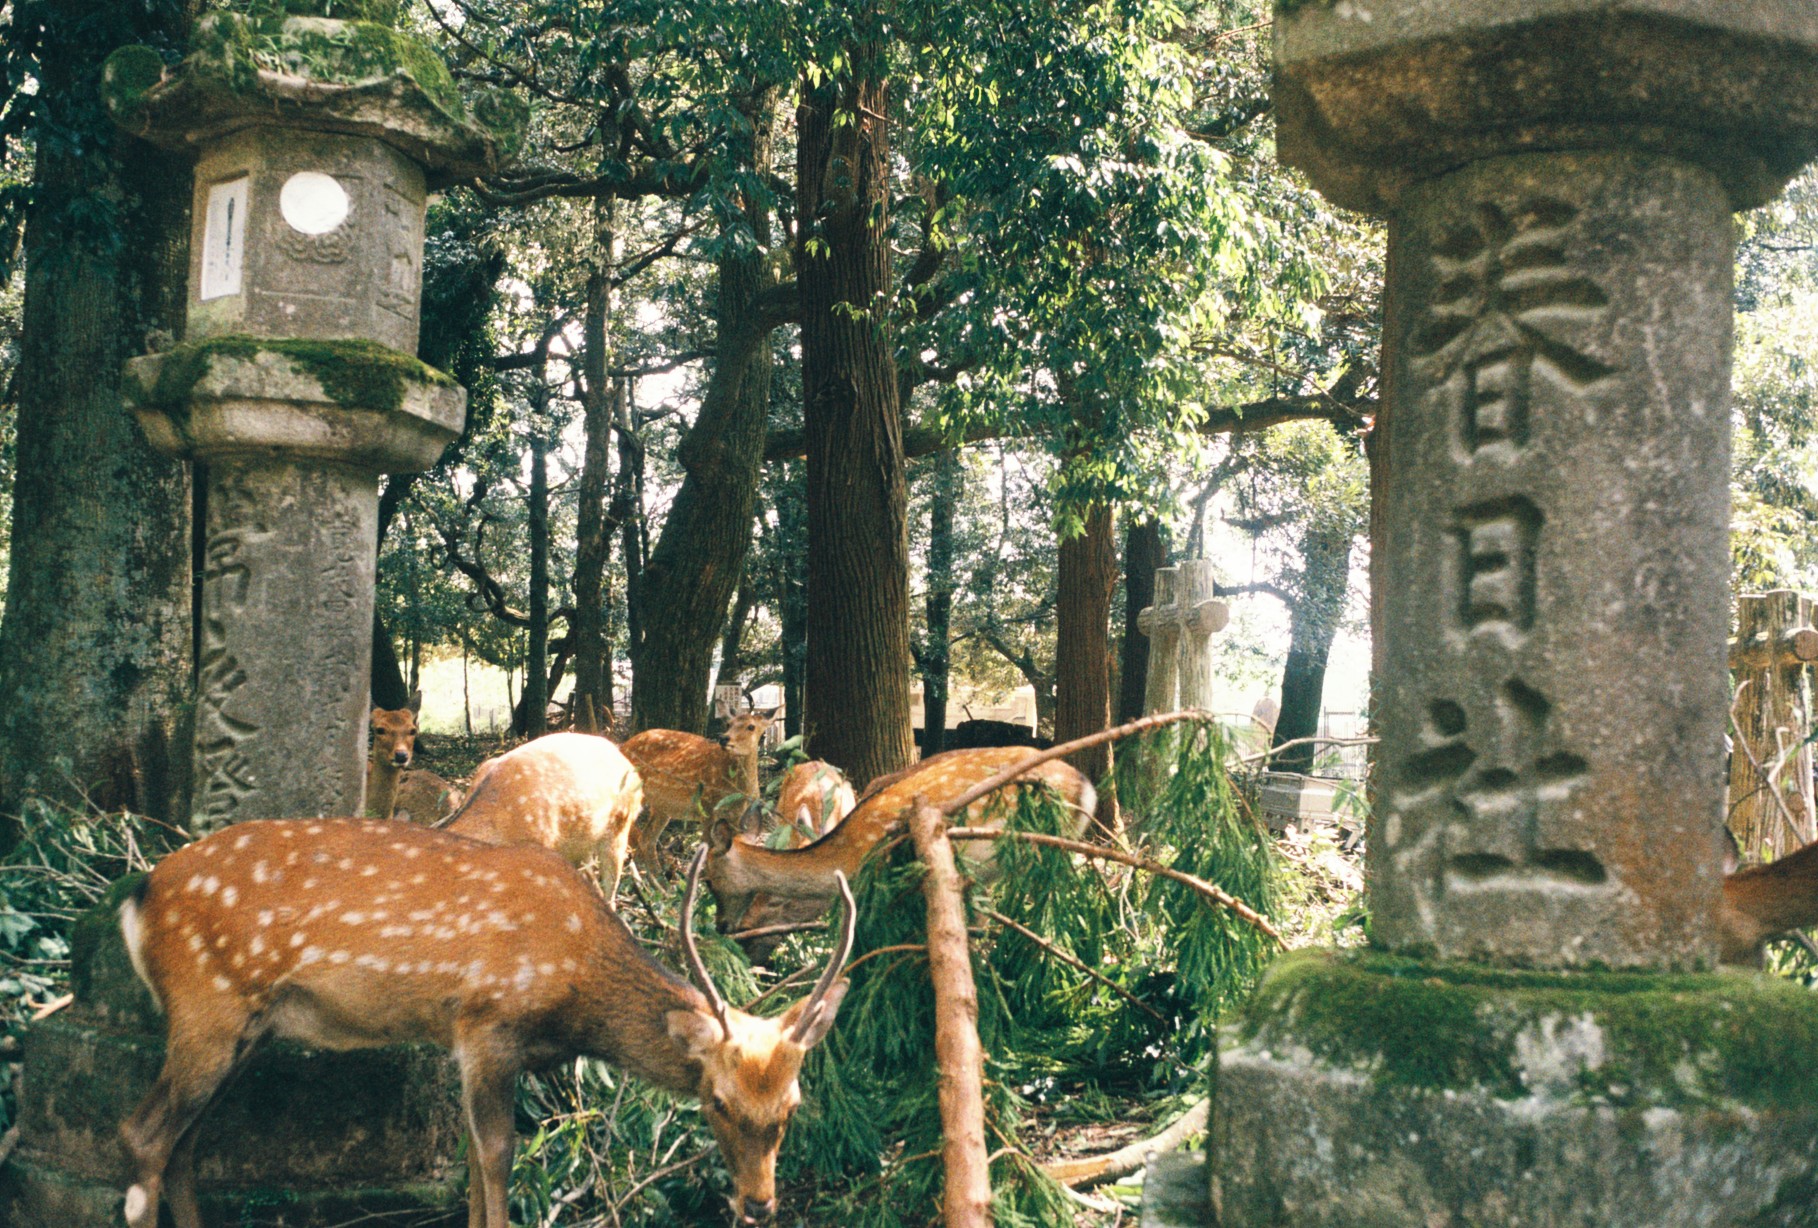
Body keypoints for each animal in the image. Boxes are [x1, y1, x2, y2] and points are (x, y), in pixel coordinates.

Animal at [120, 825, 858, 1228]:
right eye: (719, 1102)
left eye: (793, 1105)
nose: (759, 1204)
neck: (575, 985)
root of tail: (138, 899)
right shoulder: (486, 1024)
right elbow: (497, 1154)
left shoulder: (474, 1044)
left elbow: (474, 1161)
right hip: (207, 1008)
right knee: (144, 1133)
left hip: (246, 1027)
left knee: (185, 1143)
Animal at [625, 709, 774, 873]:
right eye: (728, 724)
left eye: (751, 726)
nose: (724, 738)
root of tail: (623, 745)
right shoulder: (707, 807)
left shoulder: (738, 817)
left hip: (662, 807)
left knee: (646, 839)